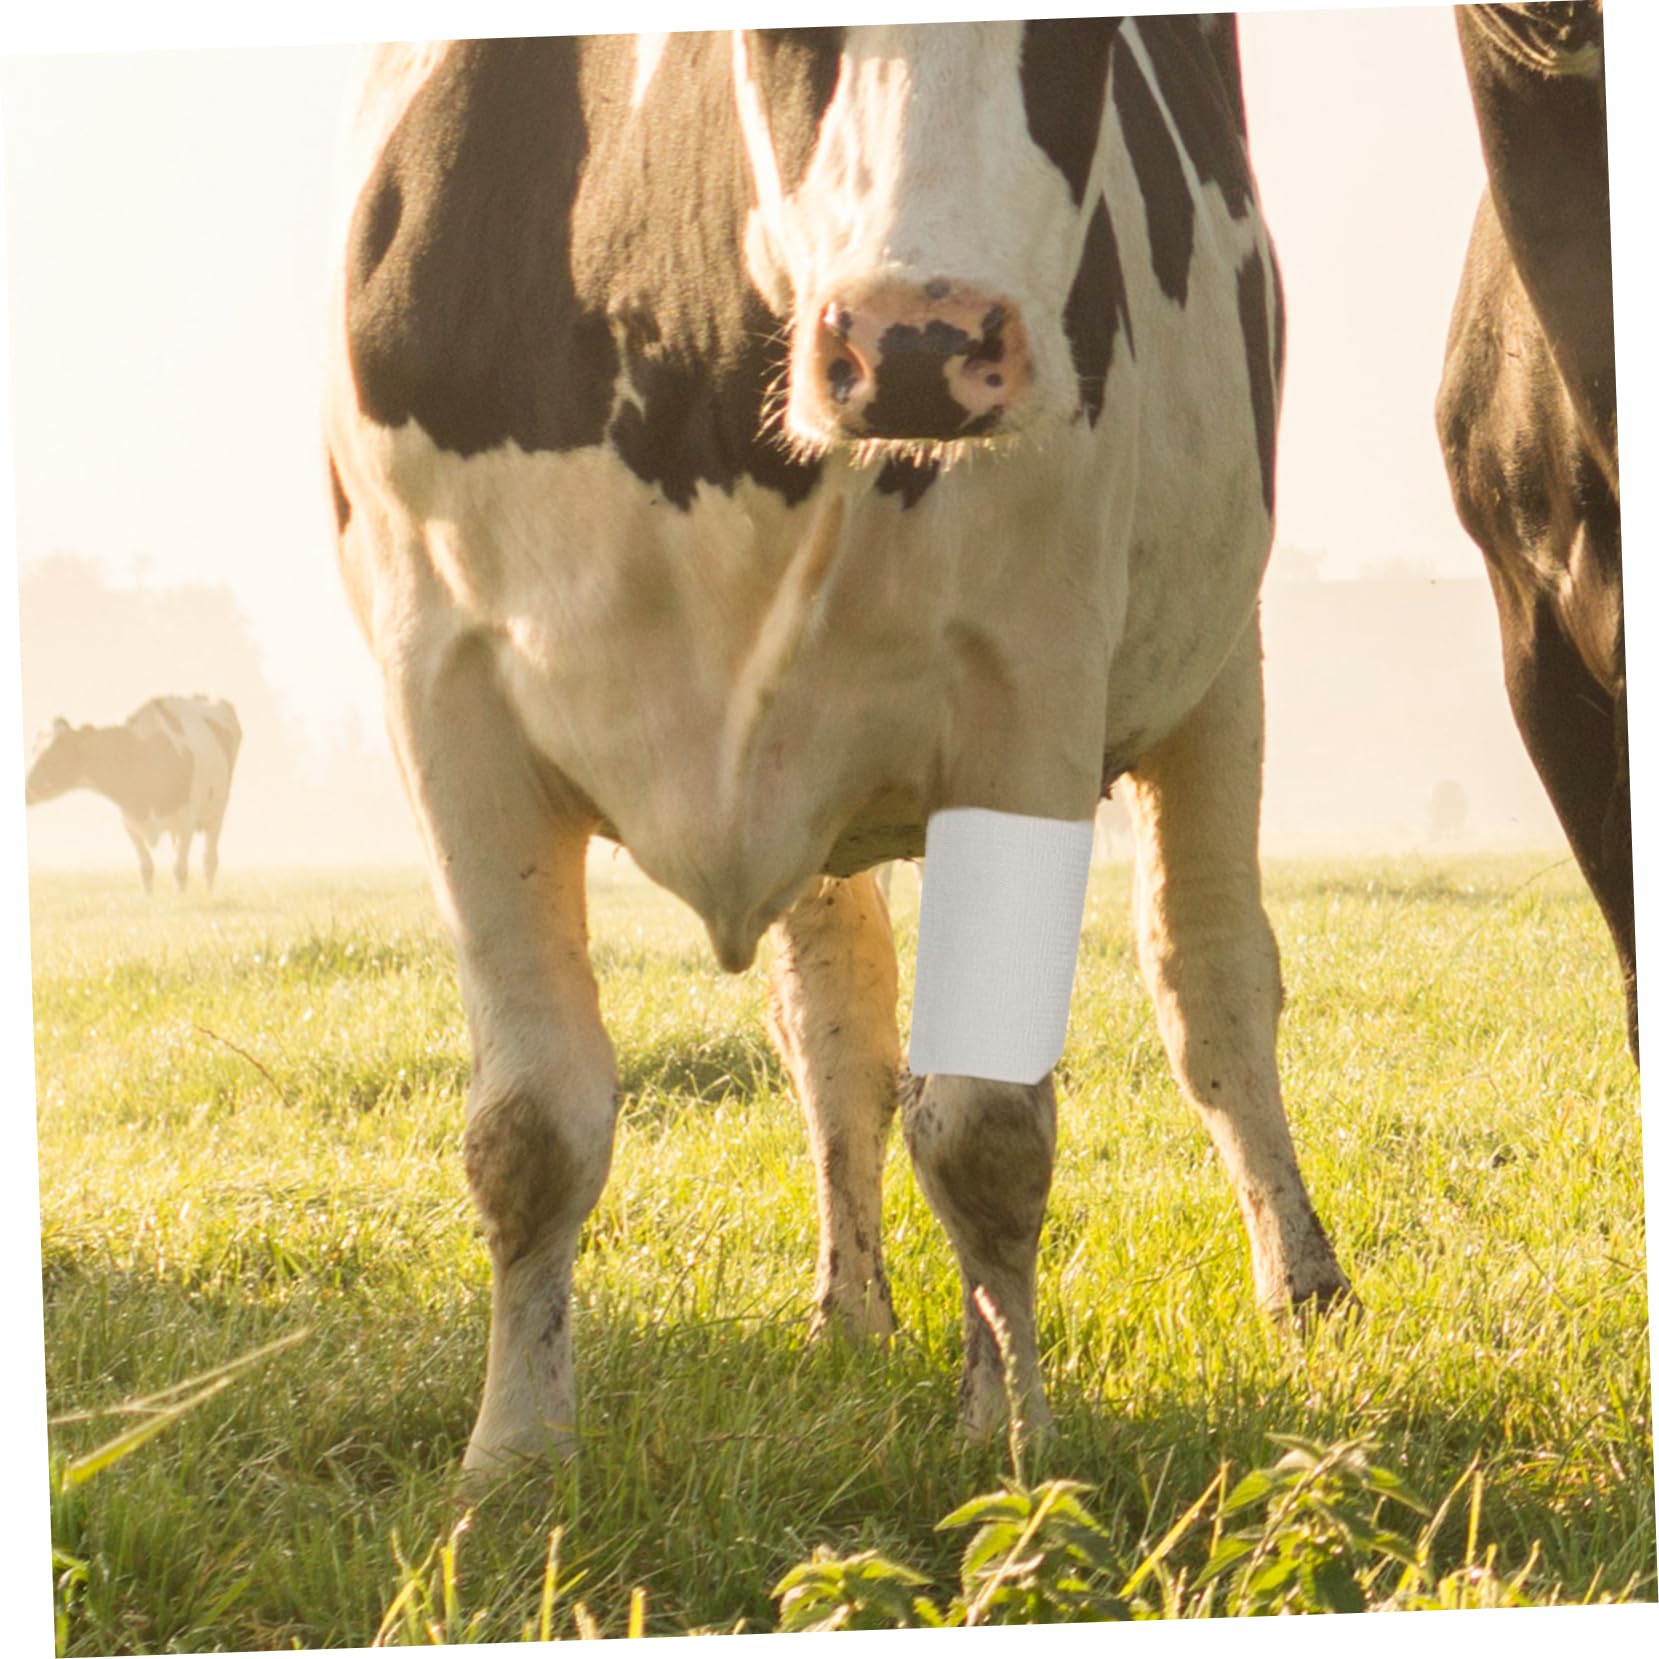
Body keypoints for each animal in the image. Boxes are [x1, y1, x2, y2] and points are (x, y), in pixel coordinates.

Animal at [24, 695, 242, 892]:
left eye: (55, 753)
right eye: (33, 749)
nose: (25, 789)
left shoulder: (185, 822)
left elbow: (179, 870)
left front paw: (182, 901)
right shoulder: (130, 824)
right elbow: (146, 868)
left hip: (216, 812)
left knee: (209, 861)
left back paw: (209, 894)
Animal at [325, 19, 1351, 1479]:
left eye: (1085, 33)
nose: (917, 342)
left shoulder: (1029, 687)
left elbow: (986, 1123)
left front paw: (1014, 1439)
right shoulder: (443, 689)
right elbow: (529, 1128)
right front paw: (515, 1459)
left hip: (1216, 662)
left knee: (1207, 979)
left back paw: (1299, 1283)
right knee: (835, 1025)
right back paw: (851, 1310)